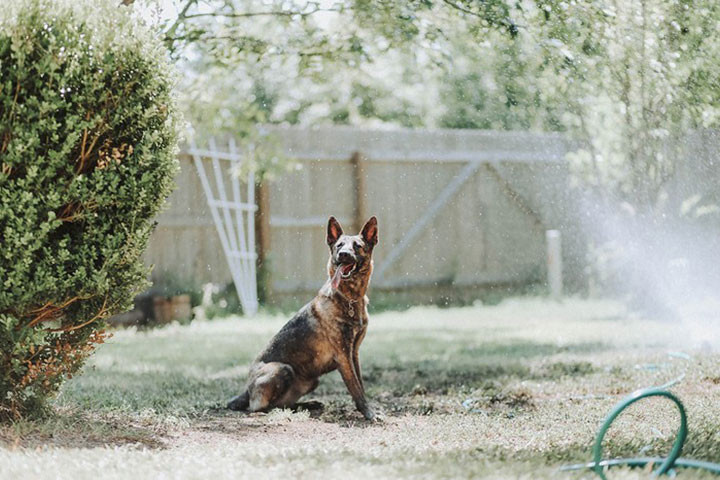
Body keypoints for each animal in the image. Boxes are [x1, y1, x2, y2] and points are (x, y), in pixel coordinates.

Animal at [228, 216, 380, 418]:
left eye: (357, 246)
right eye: (339, 245)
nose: (343, 254)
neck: (348, 298)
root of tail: (246, 390)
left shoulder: (353, 353)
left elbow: (360, 384)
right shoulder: (343, 356)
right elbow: (355, 387)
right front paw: (369, 413)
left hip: (311, 381)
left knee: (284, 403)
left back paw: (308, 405)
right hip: (282, 369)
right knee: (262, 407)